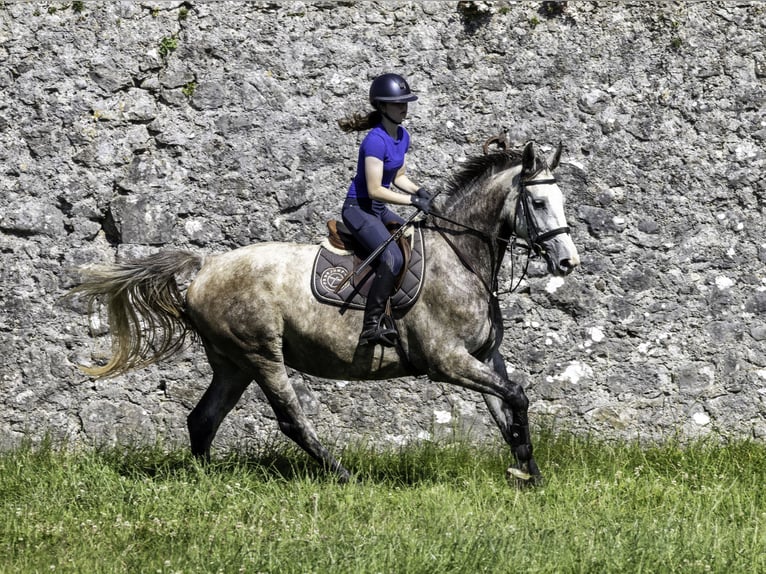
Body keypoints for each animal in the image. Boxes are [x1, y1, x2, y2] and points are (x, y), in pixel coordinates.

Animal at [69, 141, 580, 486]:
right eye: (538, 203)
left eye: (562, 202)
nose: (567, 263)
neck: (461, 258)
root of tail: (207, 266)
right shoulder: (447, 361)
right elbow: (516, 397)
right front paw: (526, 469)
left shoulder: (483, 356)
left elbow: (510, 408)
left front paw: (528, 471)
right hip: (260, 355)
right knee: (290, 419)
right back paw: (343, 475)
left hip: (232, 363)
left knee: (203, 419)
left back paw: (204, 480)